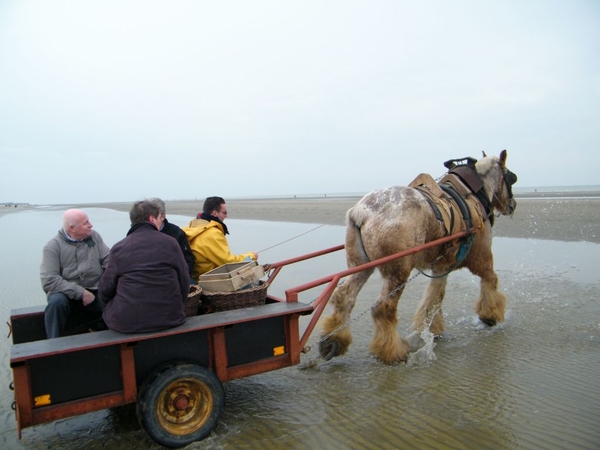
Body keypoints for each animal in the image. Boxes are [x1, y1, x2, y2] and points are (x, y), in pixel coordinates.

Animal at [318, 149, 516, 364]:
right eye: (510, 178)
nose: (512, 205)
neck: (471, 194)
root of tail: (362, 211)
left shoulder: (442, 266)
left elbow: (435, 297)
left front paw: (431, 328)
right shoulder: (482, 258)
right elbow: (490, 281)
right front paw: (490, 315)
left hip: (361, 266)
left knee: (344, 295)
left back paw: (334, 341)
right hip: (397, 273)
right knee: (383, 307)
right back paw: (393, 351)